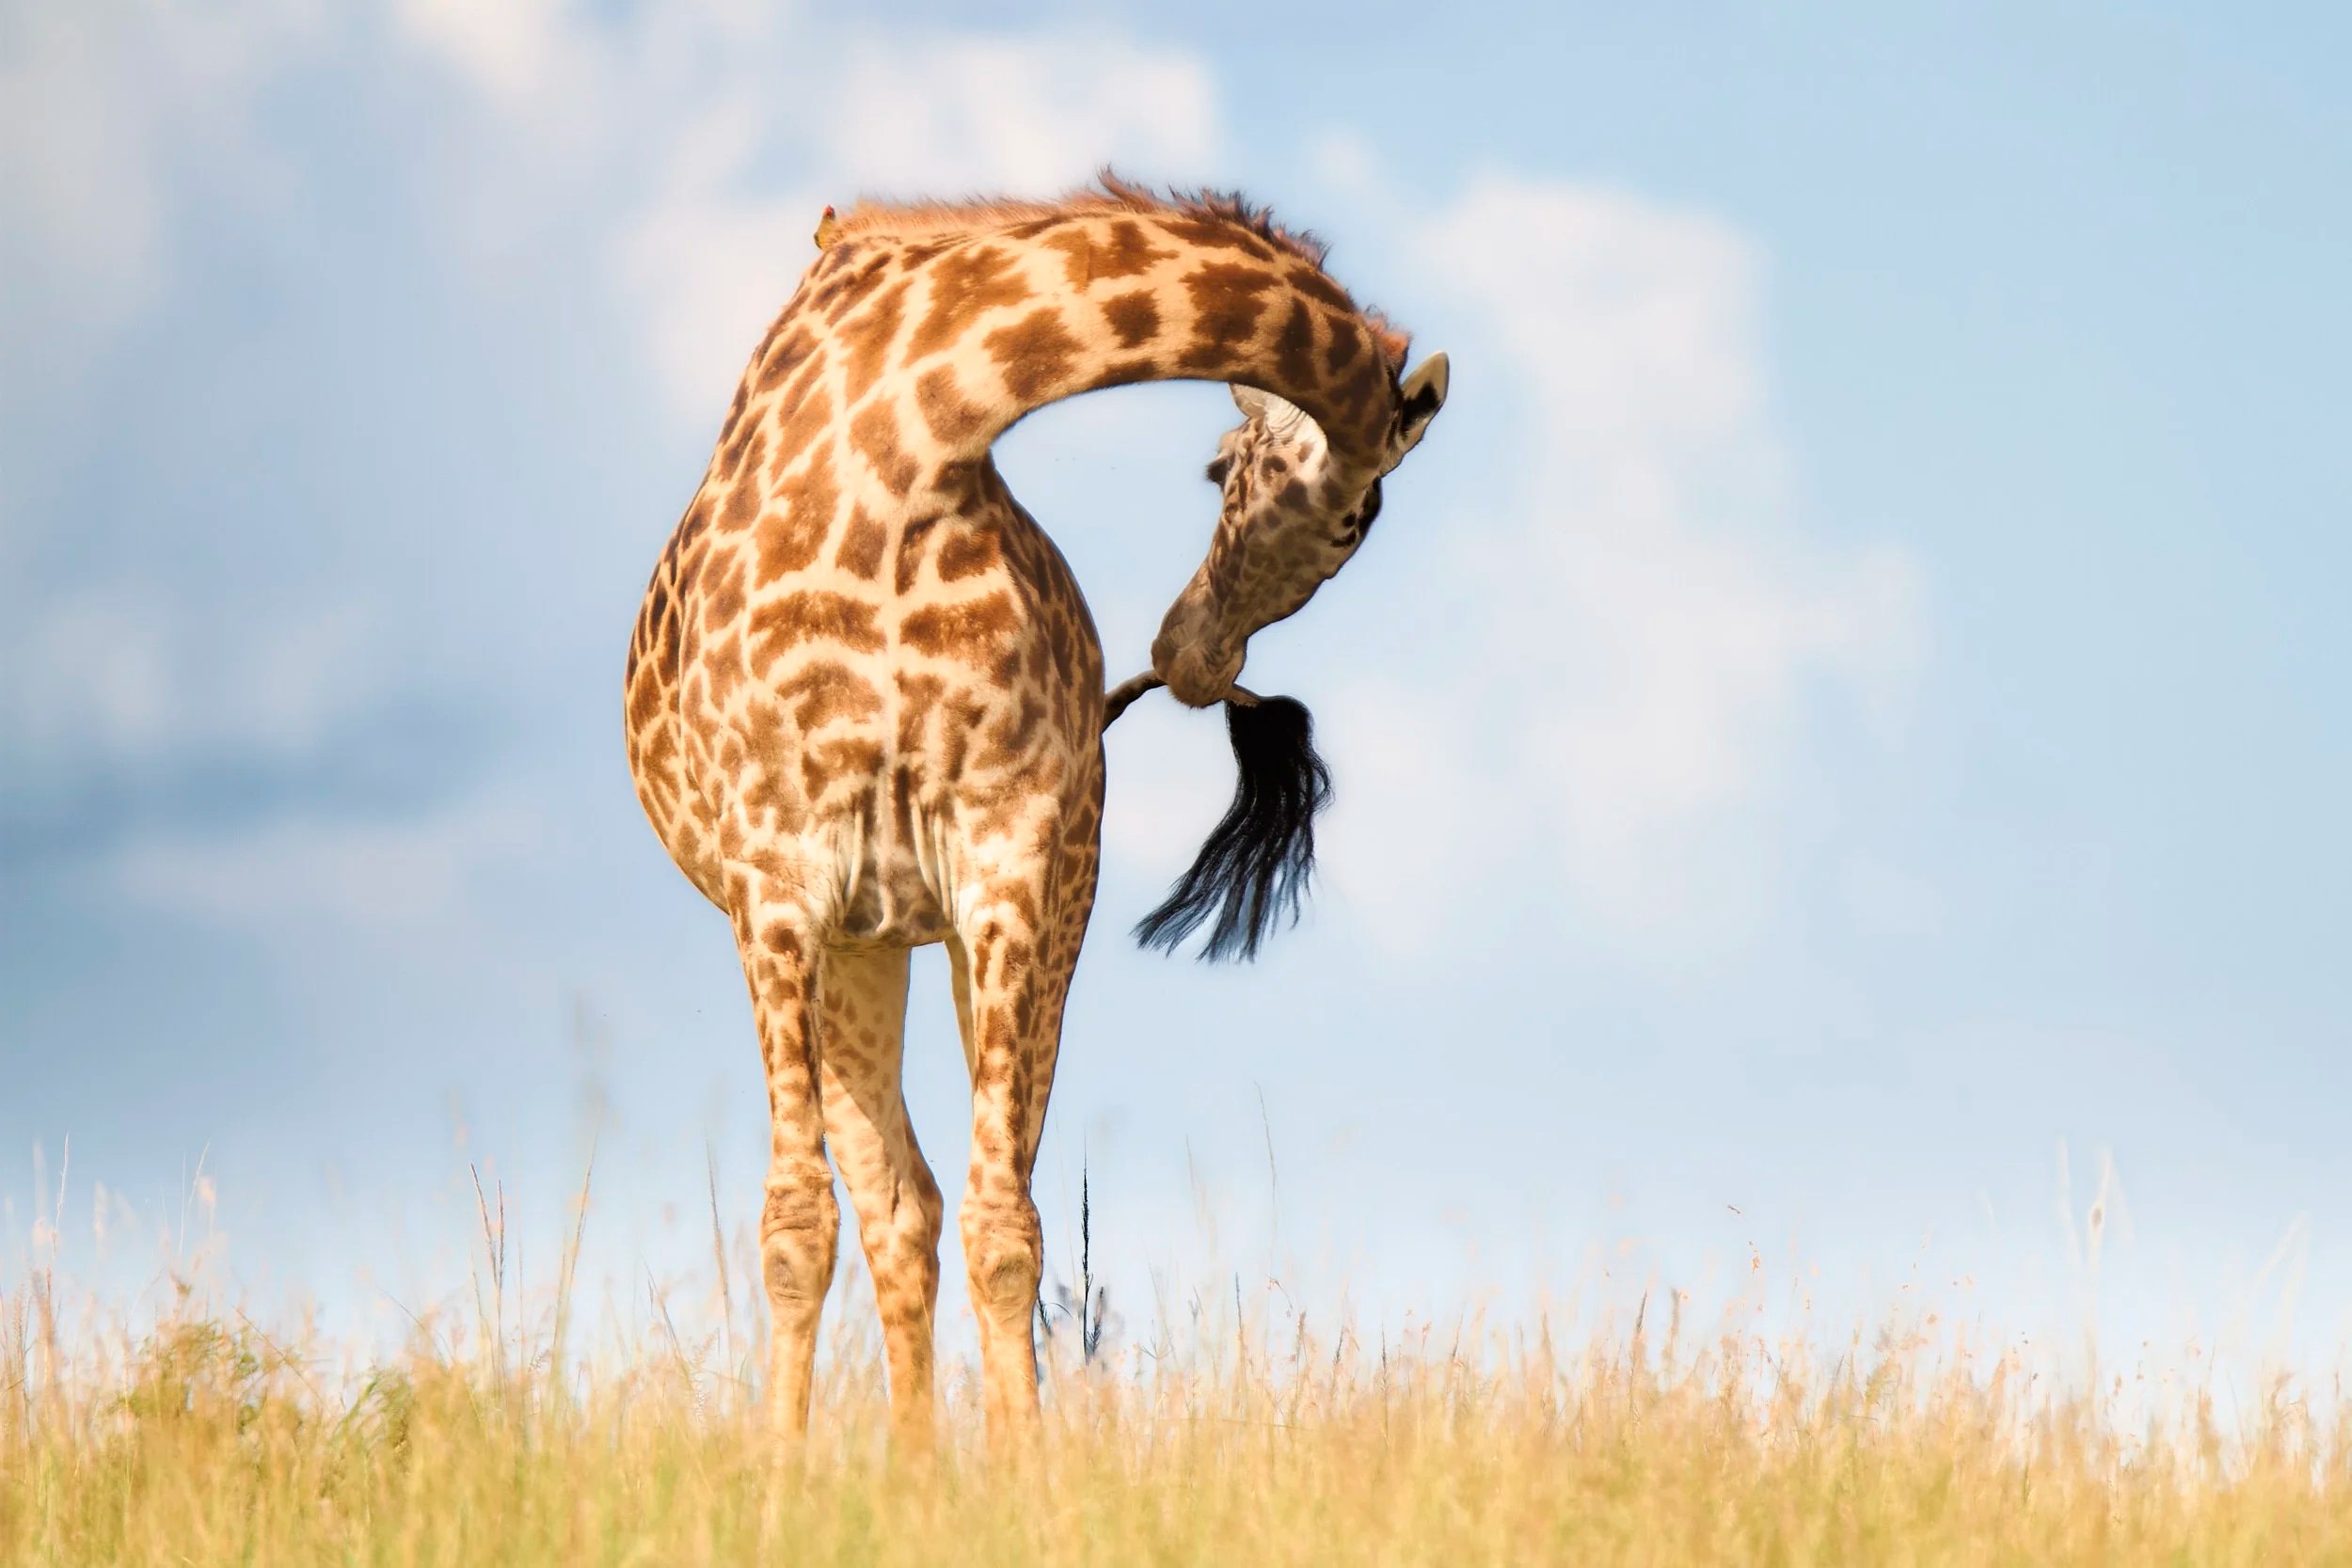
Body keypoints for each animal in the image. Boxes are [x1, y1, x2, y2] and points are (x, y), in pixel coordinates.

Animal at [623, 175, 1448, 1450]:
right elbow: (795, 1223)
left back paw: (921, 1463)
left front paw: (1021, 1469)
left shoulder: (1004, 855)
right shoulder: (777, 867)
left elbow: (1006, 1222)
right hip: (851, 938)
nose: (1193, 654)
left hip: (999, 921)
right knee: (886, 1197)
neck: (911, 444)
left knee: (930, 1194)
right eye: (1219, 470)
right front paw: (778, 1472)